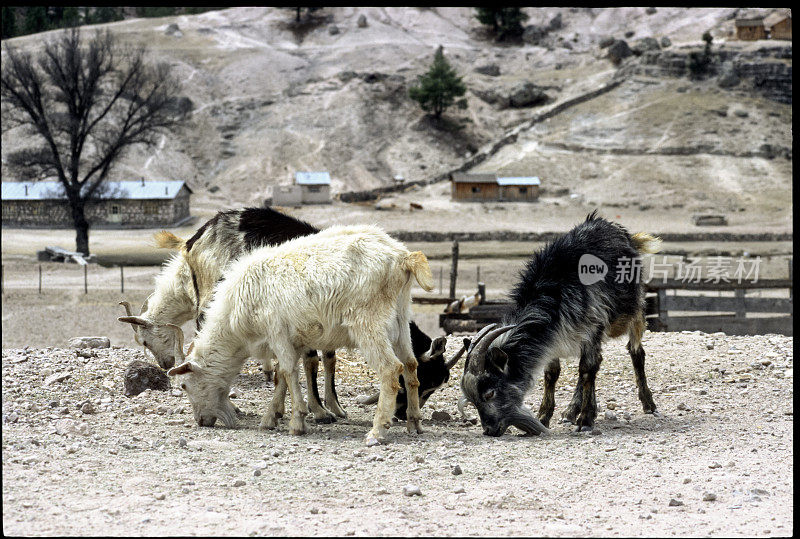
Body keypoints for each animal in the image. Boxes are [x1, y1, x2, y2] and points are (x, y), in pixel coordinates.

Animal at [165, 225, 434, 448]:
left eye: (184, 385)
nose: (201, 421)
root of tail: (403, 257)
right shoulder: (291, 340)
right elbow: (282, 376)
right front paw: (271, 417)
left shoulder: (276, 332)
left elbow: (287, 372)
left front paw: (296, 422)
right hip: (400, 318)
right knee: (411, 365)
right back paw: (414, 423)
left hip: (368, 321)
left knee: (391, 369)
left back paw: (377, 430)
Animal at [460, 212, 660, 438]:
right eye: (473, 400)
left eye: (490, 393)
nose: (489, 430)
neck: (553, 295)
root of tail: (625, 235)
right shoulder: (555, 335)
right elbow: (553, 373)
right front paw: (544, 417)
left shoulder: (593, 326)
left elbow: (587, 368)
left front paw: (586, 420)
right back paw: (571, 410)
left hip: (635, 310)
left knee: (635, 353)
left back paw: (648, 403)